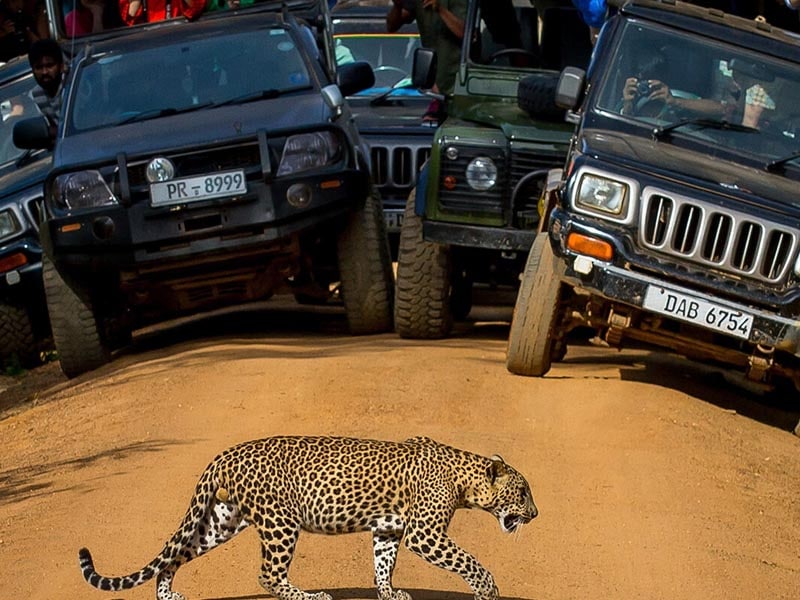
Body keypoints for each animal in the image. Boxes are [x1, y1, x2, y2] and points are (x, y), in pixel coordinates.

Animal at [78, 436, 536, 600]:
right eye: (523, 492)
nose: (536, 513)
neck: (465, 479)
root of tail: (225, 454)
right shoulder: (424, 533)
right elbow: (468, 561)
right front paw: (488, 590)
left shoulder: (388, 529)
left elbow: (383, 565)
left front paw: (389, 594)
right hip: (281, 523)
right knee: (267, 574)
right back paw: (310, 596)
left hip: (221, 520)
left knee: (174, 555)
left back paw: (168, 595)